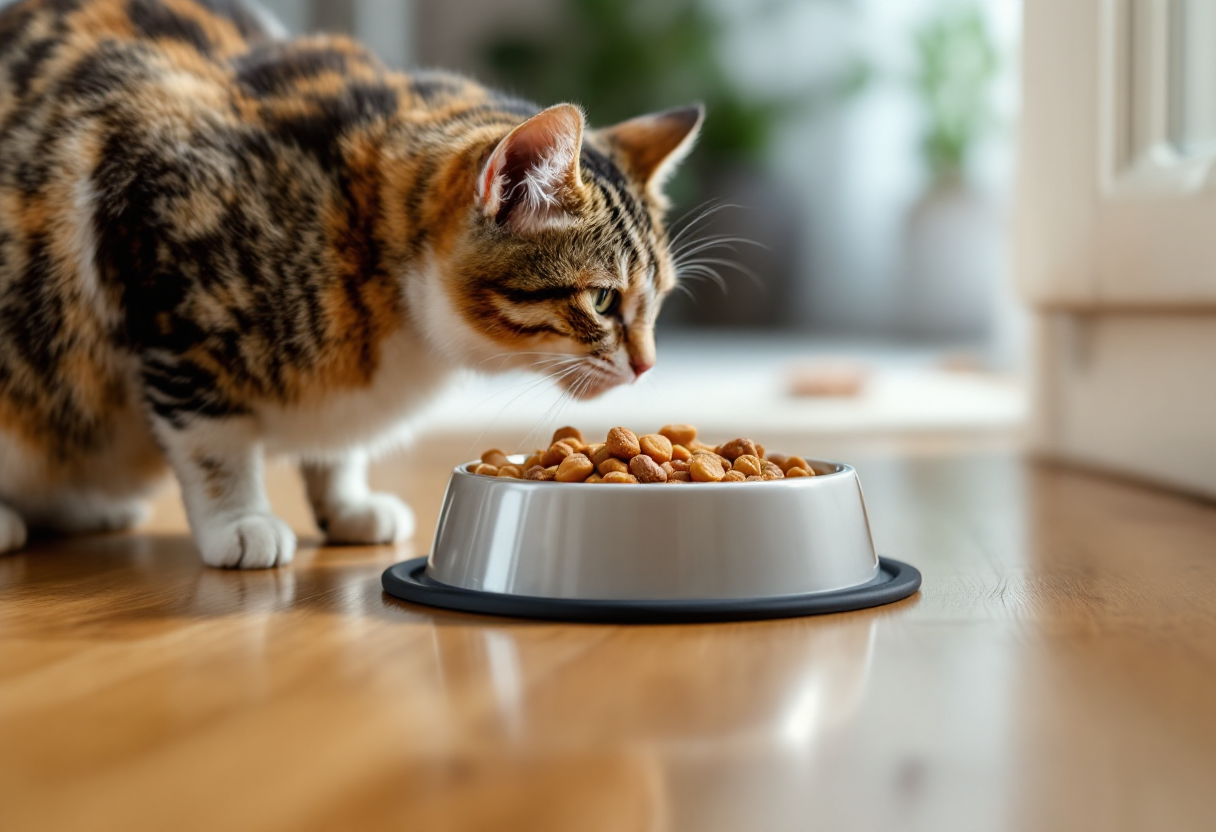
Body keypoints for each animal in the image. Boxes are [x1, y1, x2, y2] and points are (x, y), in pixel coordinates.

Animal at [0, 0, 705, 564]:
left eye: (659, 300)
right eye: (603, 299)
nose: (647, 365)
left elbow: (337, 448)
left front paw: (347, 504)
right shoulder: (169, 280)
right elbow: (211, 439)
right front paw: (241, 519)